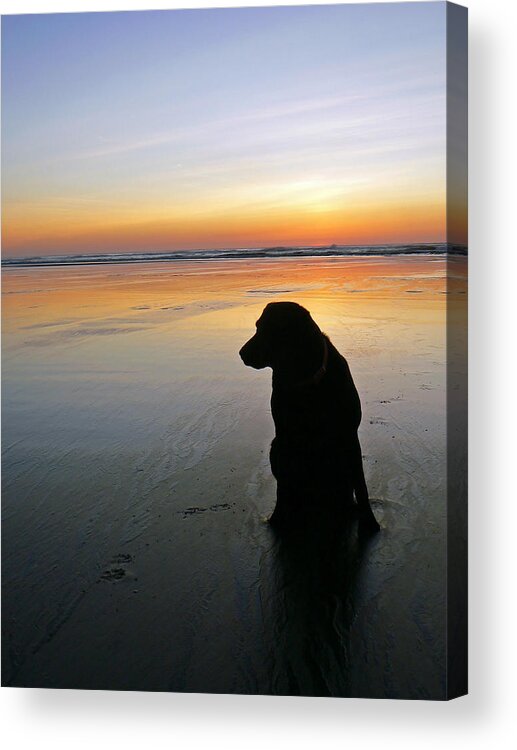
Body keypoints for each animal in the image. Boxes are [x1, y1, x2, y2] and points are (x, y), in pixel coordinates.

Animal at [239, 302, 378, 532]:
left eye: (267, 329)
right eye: (257, 326)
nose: (241, 353)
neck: (305, 380)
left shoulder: (349, 434)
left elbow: (361, 484)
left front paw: (370, 522)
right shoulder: (285, 436)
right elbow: (283, 484)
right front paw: (278, 517)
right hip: (276, 446)